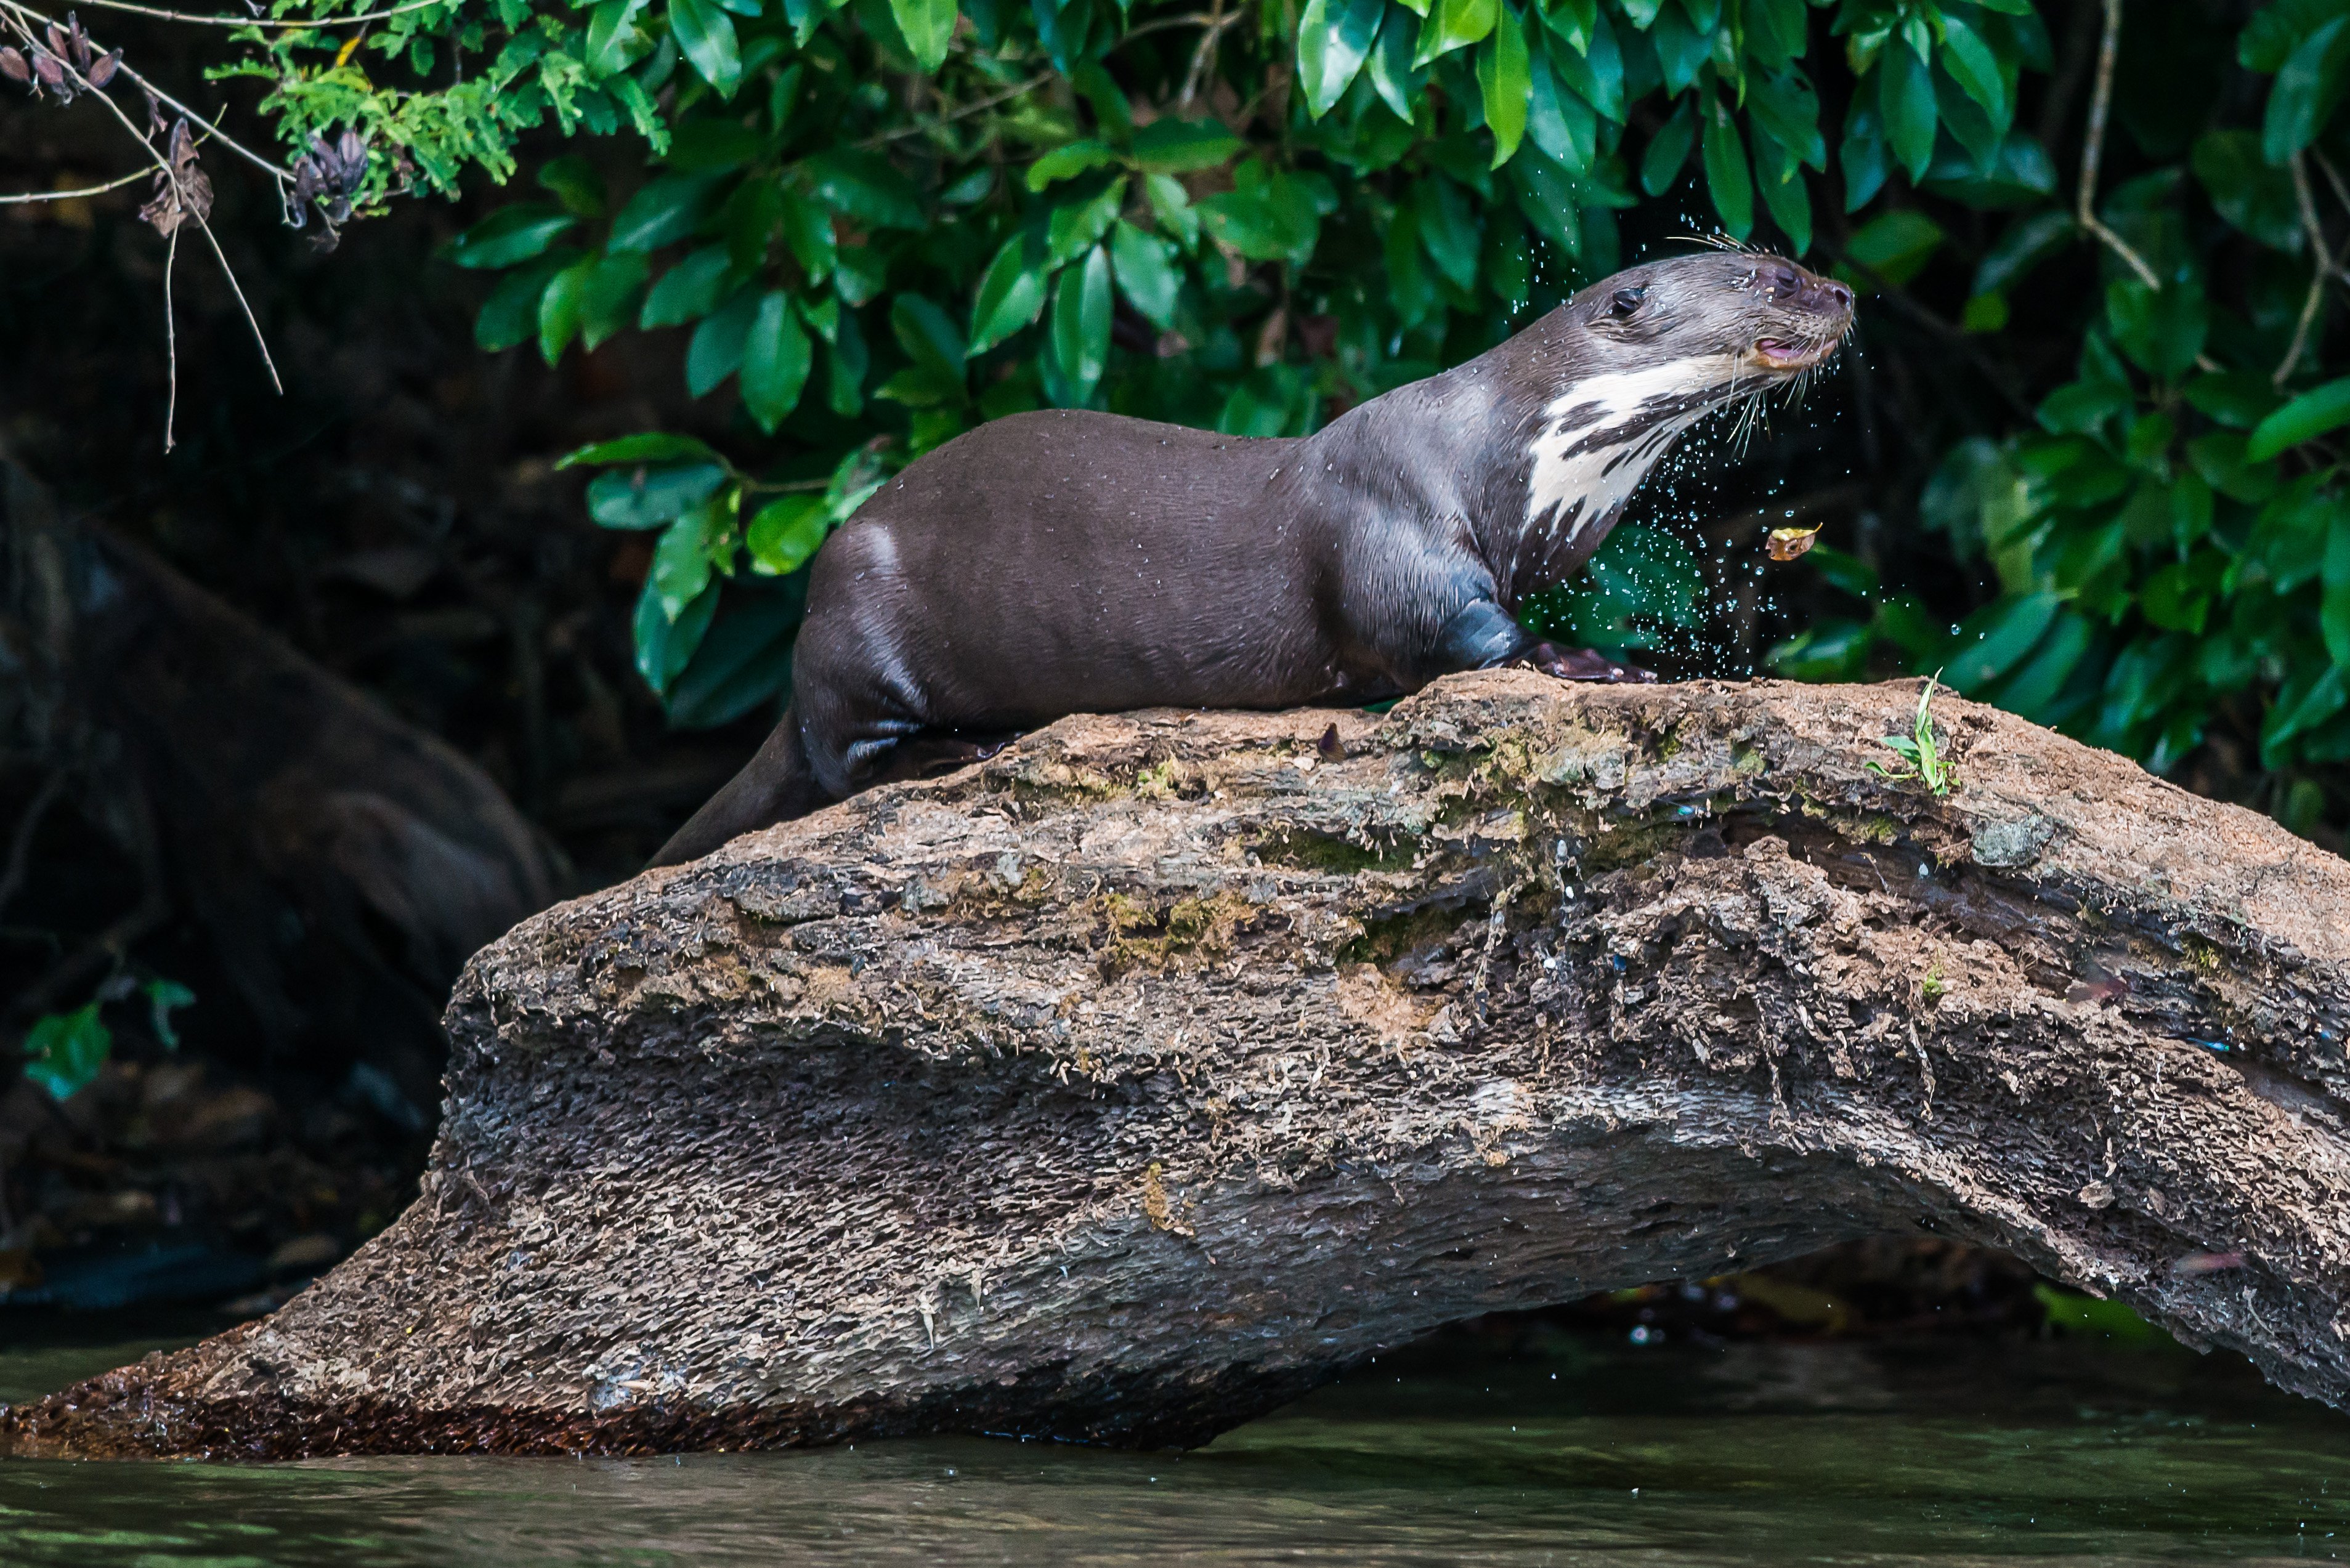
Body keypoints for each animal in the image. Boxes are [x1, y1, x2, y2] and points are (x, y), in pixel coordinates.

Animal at [652, 250, 1854, 867]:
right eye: (1768, 278)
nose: (1843, 293)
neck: (1518, 451)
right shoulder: (1395, 524)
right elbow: (1455, 631)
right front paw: (1600, 666)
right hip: (858, 615)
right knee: (839, 760)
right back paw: (958, 751)